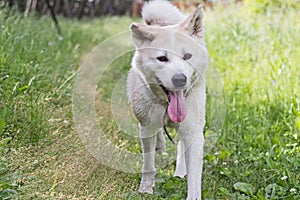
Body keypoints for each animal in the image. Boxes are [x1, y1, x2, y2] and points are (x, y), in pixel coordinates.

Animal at [126, 0, 209, 199]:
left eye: (187, 56)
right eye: (162, 58)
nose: (180, 80)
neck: (166, 105)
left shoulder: (193, 132)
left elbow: (194, 177)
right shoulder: (146, 128)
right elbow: (148, 163)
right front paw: (146, 188)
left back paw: (179, 171)